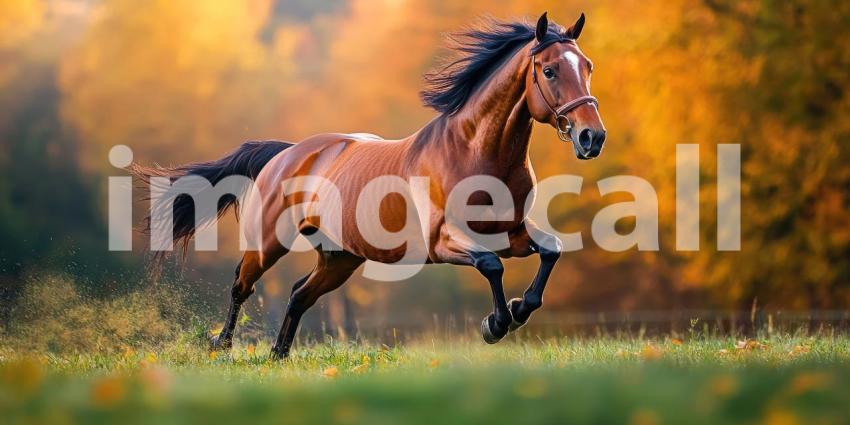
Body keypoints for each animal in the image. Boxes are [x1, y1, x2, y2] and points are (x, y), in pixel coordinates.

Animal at [132, 12, 606, 359]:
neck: (474, 150)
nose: (592, 137)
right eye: (549, 70)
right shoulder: (443, 241)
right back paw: (221, 345)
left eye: (587, 66)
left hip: (340, 257)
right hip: (269, 242)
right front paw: (496, 324)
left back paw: (279, 354)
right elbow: (491, 265)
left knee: (299, 294)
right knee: (240, 285)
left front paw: (518, 309)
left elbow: (551, 252)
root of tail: (287, 151)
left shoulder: (512, 232)